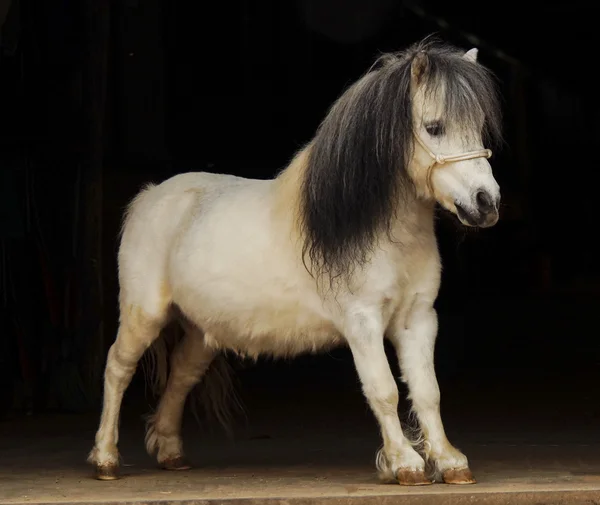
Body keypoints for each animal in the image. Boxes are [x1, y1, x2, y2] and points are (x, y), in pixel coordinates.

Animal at [88, 37, 502, 486]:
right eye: (434, 127)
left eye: (479, 125)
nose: (486, 202)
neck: (371, 228)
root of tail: (149, 196)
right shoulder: (362, 322)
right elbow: (384, 390)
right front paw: (405, 463)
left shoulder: (418, 319)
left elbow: (428, 391)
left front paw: (449, 461)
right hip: (143, 314)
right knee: (117, 369)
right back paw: (106, 459)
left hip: (201, 330)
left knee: (181, 375)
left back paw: (170, 452)